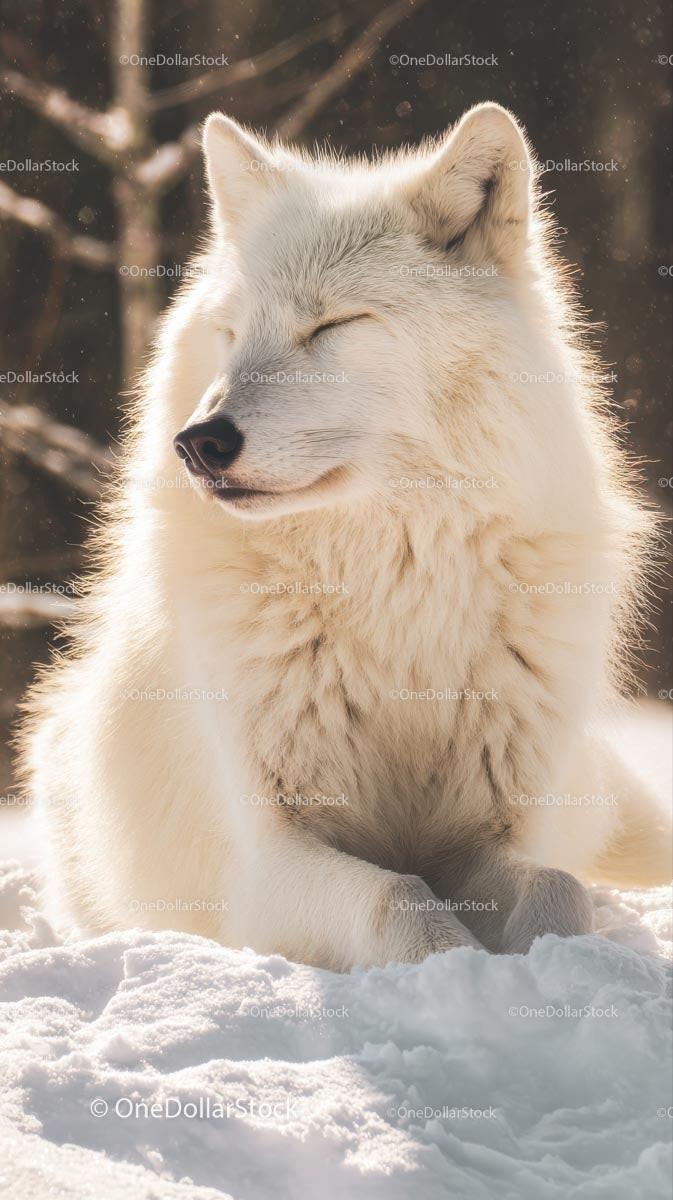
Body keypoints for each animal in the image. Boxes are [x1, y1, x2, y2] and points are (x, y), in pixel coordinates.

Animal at [18, 103, 671, 970]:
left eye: (331, 324)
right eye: (232, 333)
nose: (198, 442)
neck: (394, 587)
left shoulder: (498, 832)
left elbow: (558, 893)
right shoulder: (269, 861)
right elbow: (400, 898)